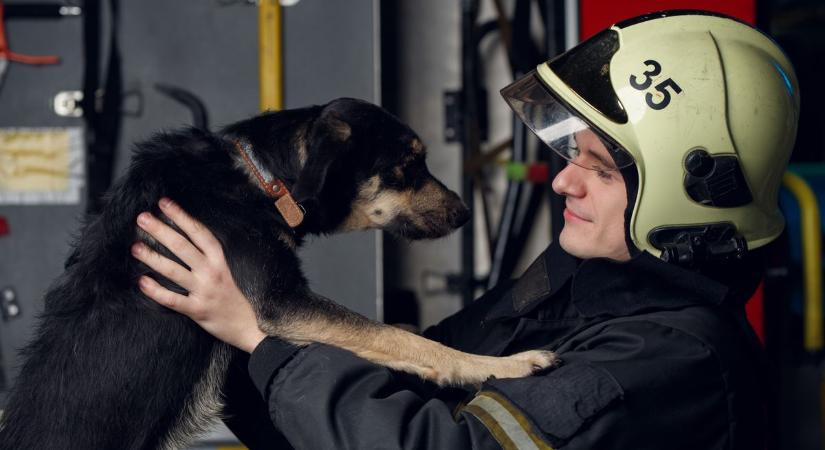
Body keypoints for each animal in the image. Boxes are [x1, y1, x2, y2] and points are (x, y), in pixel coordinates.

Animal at [1, 99, 552, 450]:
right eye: (407, 166)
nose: (465, 213)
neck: (262, 177)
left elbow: (395, 334)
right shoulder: (283, 303)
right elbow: (408, 341)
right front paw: (503, 365)